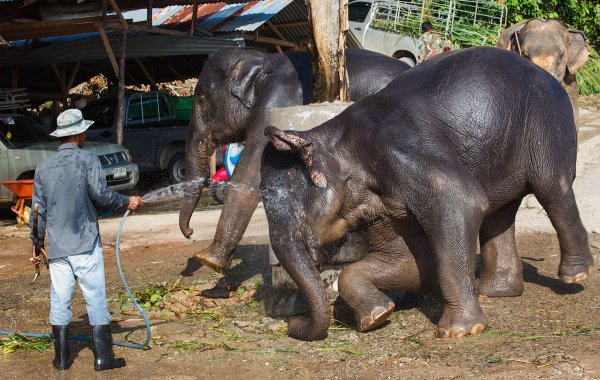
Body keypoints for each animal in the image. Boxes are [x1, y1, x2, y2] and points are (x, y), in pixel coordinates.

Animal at [179, 47, 412, 274]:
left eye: (200, 100)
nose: (190, 232)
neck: (262, 56)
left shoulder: (276, 101)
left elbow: (248, 174)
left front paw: (208, 259)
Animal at [260, 46, 592, 342]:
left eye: (296, 210)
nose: (294, 323)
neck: (334, 135)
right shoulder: (376, 205)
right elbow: (411, 261)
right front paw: (375, 317)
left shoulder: (405, 155)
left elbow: (462, 203)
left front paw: (458, 332)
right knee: (500, 214)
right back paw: (494, 291)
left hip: (548, 126)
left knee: (553, 190)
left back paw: (575, 276)